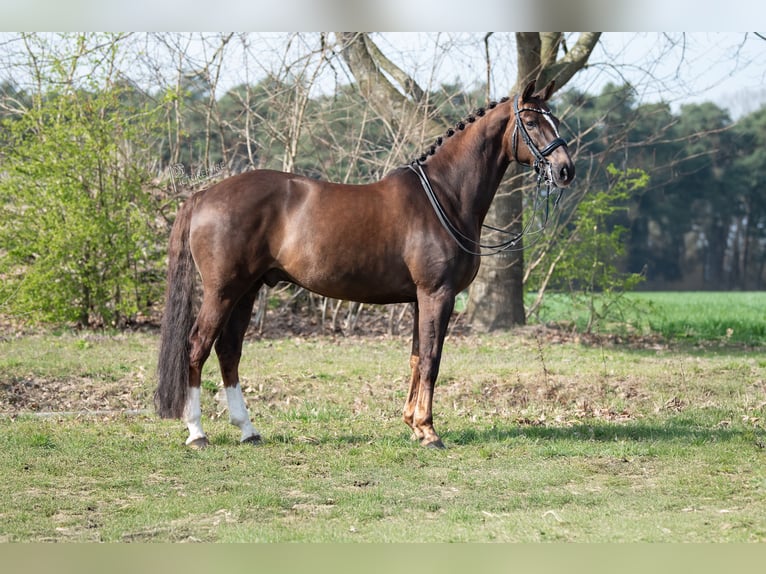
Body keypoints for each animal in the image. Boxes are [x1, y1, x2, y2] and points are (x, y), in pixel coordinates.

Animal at [154, 79, 575, 449]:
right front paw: (429, 431)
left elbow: (416, 357)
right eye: (532, 122)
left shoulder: (419, 300)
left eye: (553, 118)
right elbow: (432, 359)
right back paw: (197, 432)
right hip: (222, 291)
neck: (444, 197)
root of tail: (204, 195)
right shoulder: (437, 295)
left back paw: (247, 430)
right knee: (196, 347)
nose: (565, 169)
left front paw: (414, 425)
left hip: (247, 290)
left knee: (229, 350)